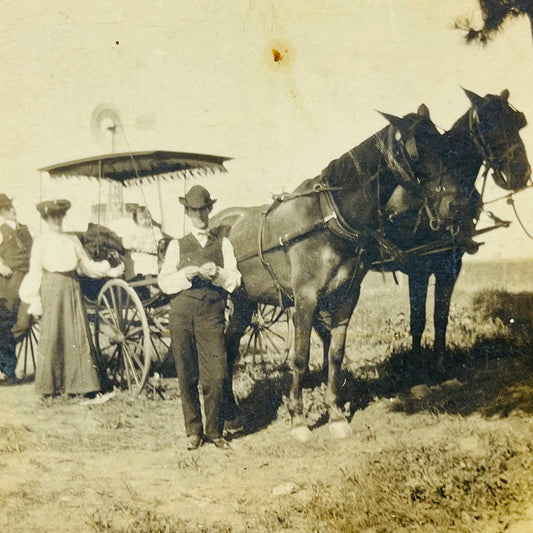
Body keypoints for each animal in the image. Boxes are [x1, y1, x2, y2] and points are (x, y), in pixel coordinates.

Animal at [214, 105, 472, 440]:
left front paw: (336, 415)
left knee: (230, 347)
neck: (329, 218)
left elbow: (335, 355)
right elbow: (300, 358)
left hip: (244, 301)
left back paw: (232, 413)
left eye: (444, 144)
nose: (458, 205)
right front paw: (298, 420)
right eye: (417, 151)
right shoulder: (305, 299)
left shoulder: (347, 296)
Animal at [380, 88, 528, 370]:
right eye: (488, 126)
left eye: (517, 124)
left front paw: (440, 362)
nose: (521, 174)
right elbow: (418, 319)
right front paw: (417, 366)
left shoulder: (450, 263)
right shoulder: (419, 266)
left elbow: (440, 315)